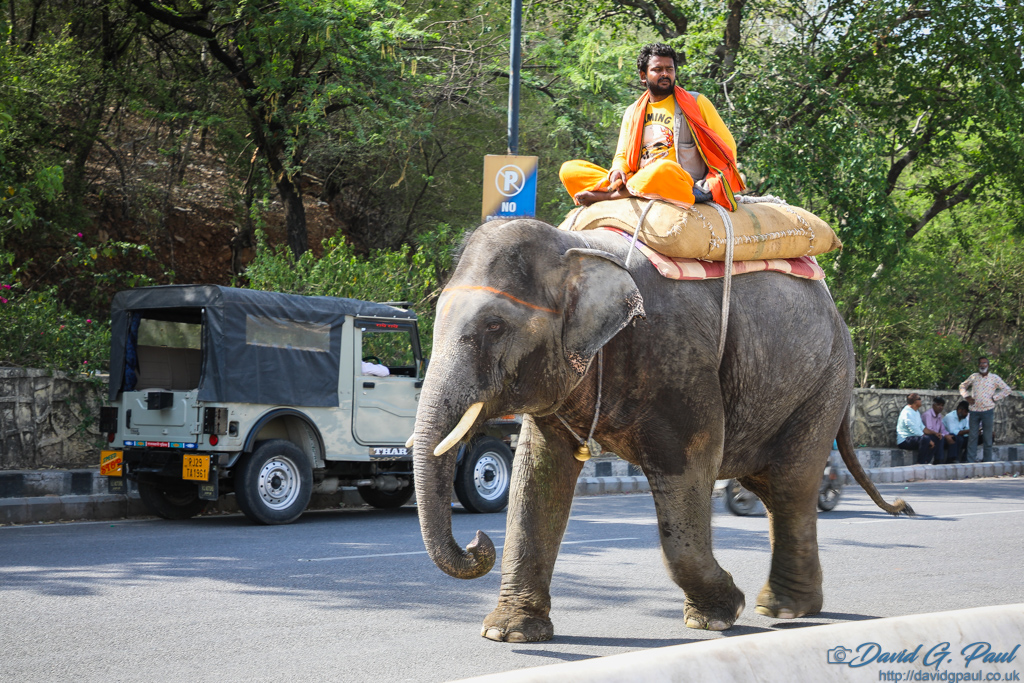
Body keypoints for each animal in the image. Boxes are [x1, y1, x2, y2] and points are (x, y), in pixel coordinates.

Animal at [410, 217, 912, 643]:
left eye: (494, 326)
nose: (478, 541)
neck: (580, 249)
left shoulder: (679, 362)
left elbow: (688, 468)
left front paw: (719, 615)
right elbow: (539, 480)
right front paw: (508, 634)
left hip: (823, 383)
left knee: (791, 485)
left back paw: (783, 609)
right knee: (769, 486)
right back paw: (786, 606)